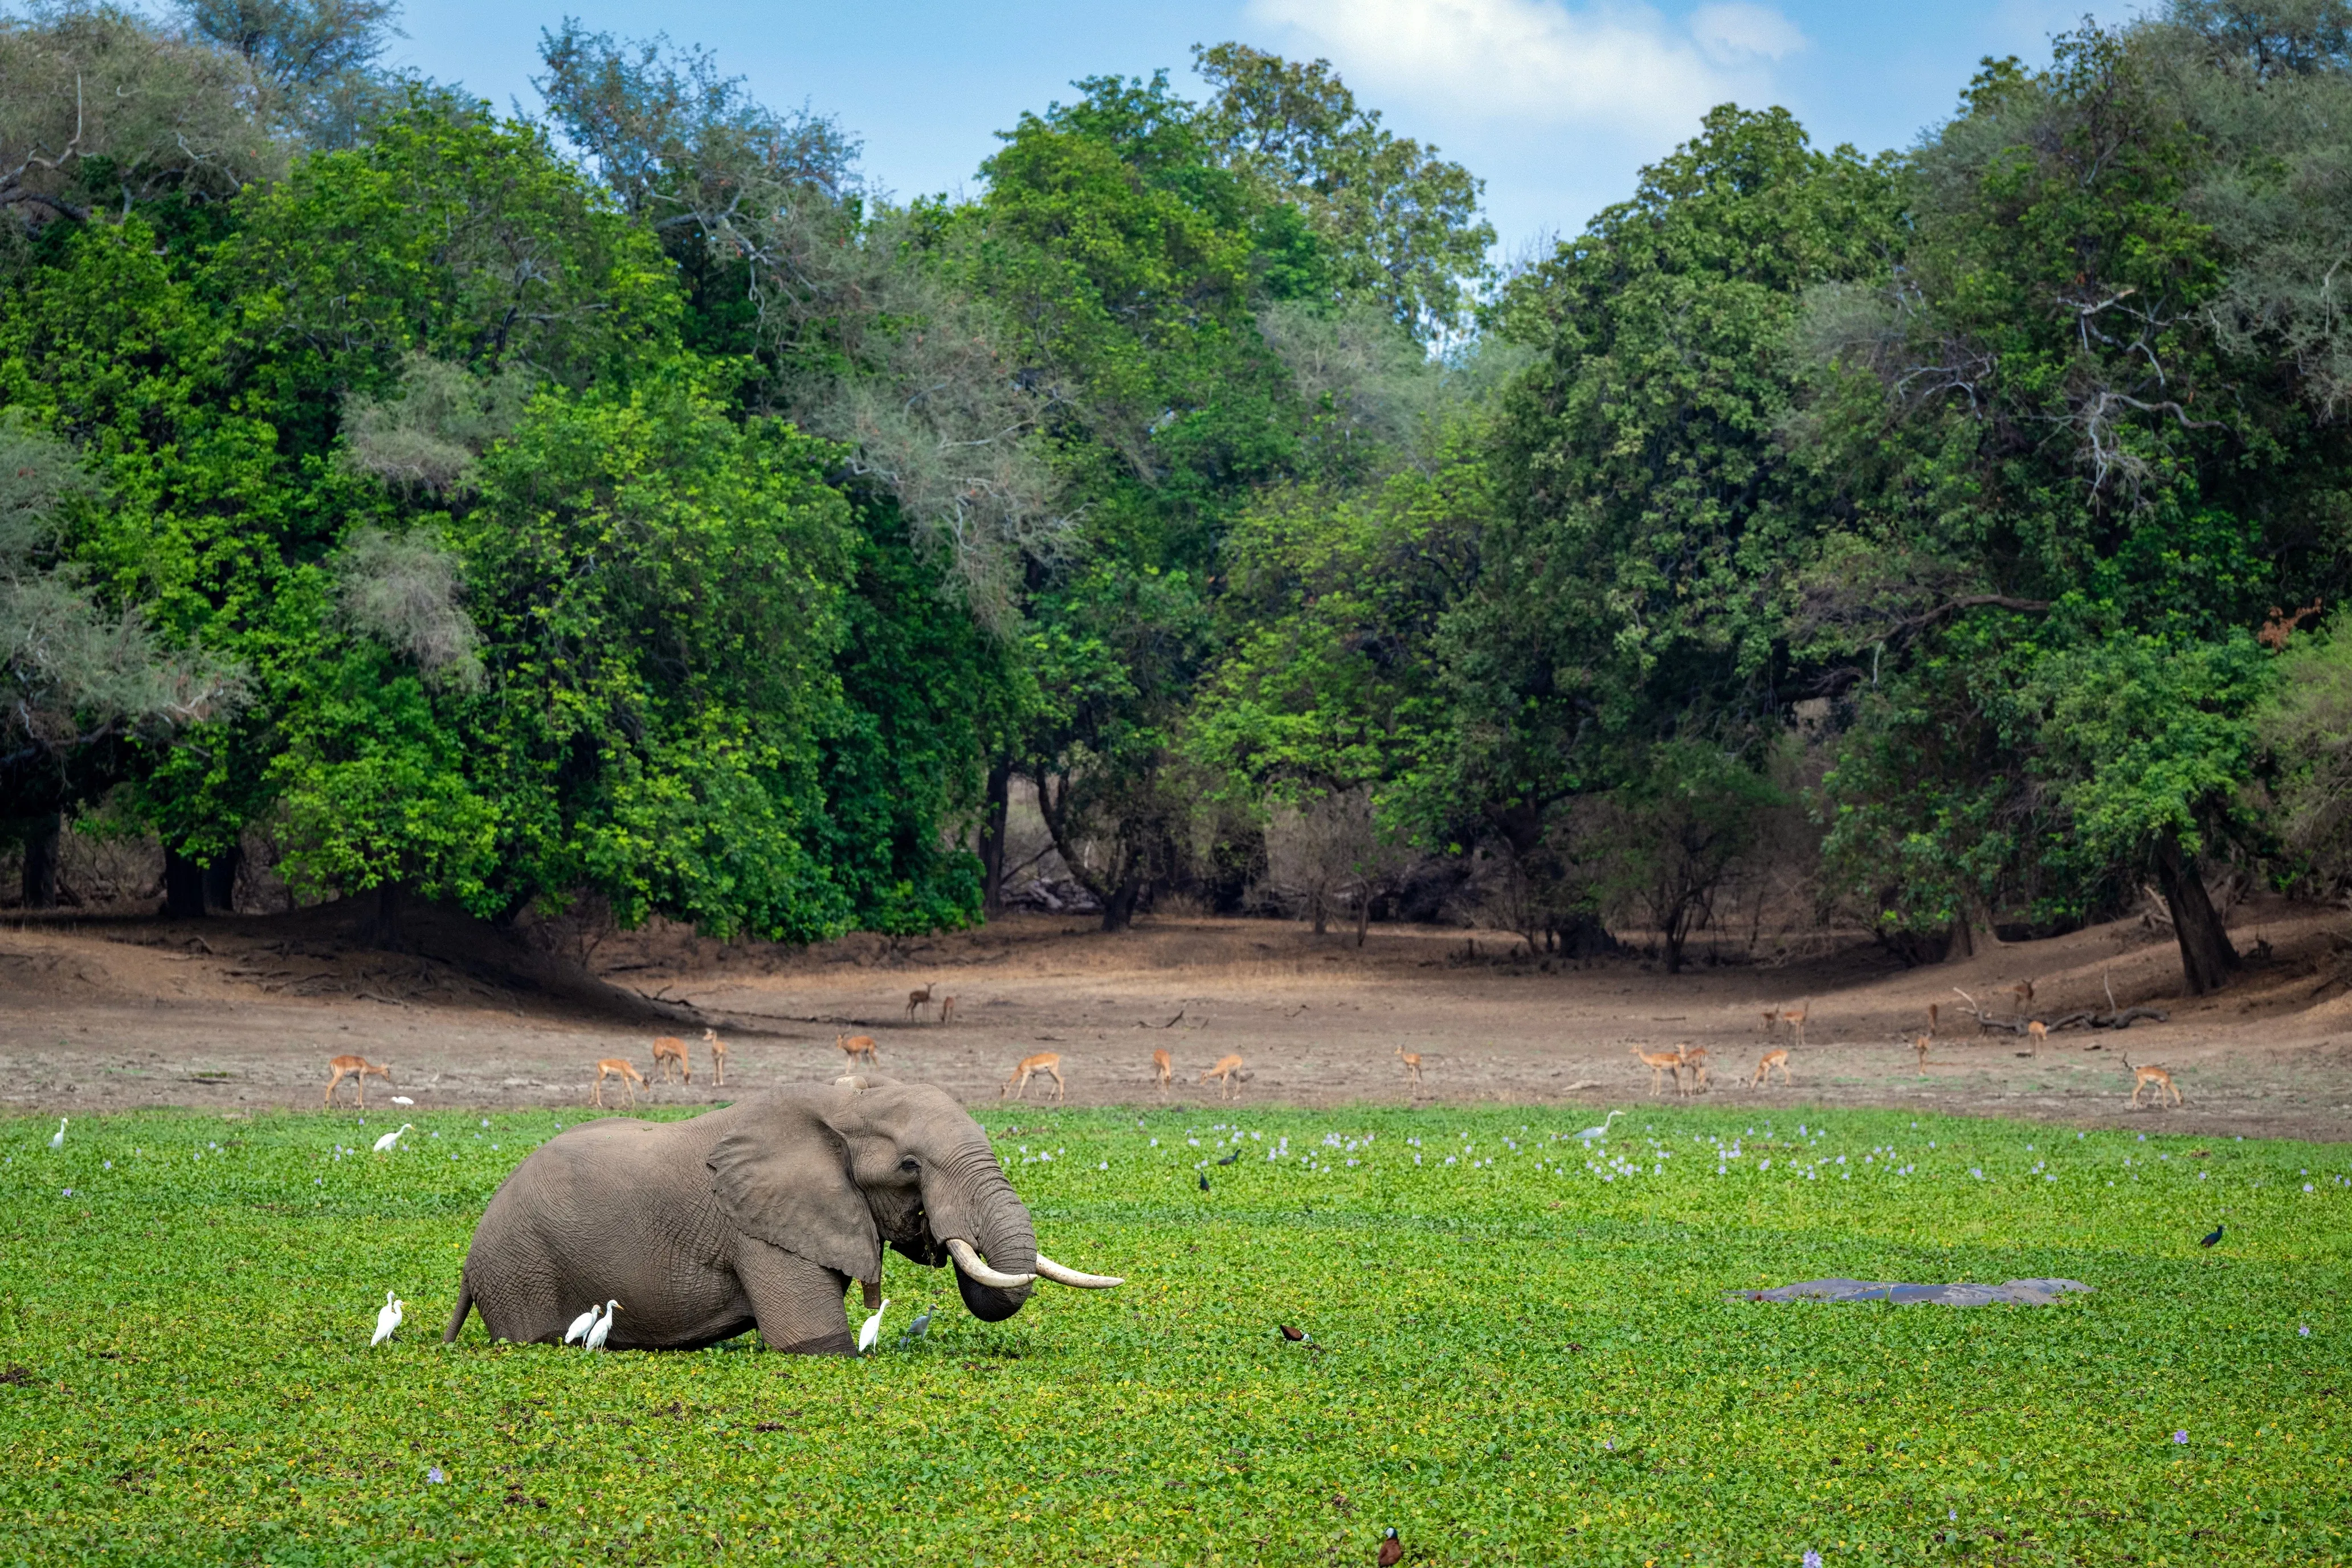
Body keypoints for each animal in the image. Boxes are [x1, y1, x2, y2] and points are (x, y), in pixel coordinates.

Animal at [443, 1075, 1121, 1354]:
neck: (845, 1105)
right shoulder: (759, 1230)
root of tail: (471, 1262)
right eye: (910, 1168)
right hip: (520, 1269)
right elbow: (815, 1345)